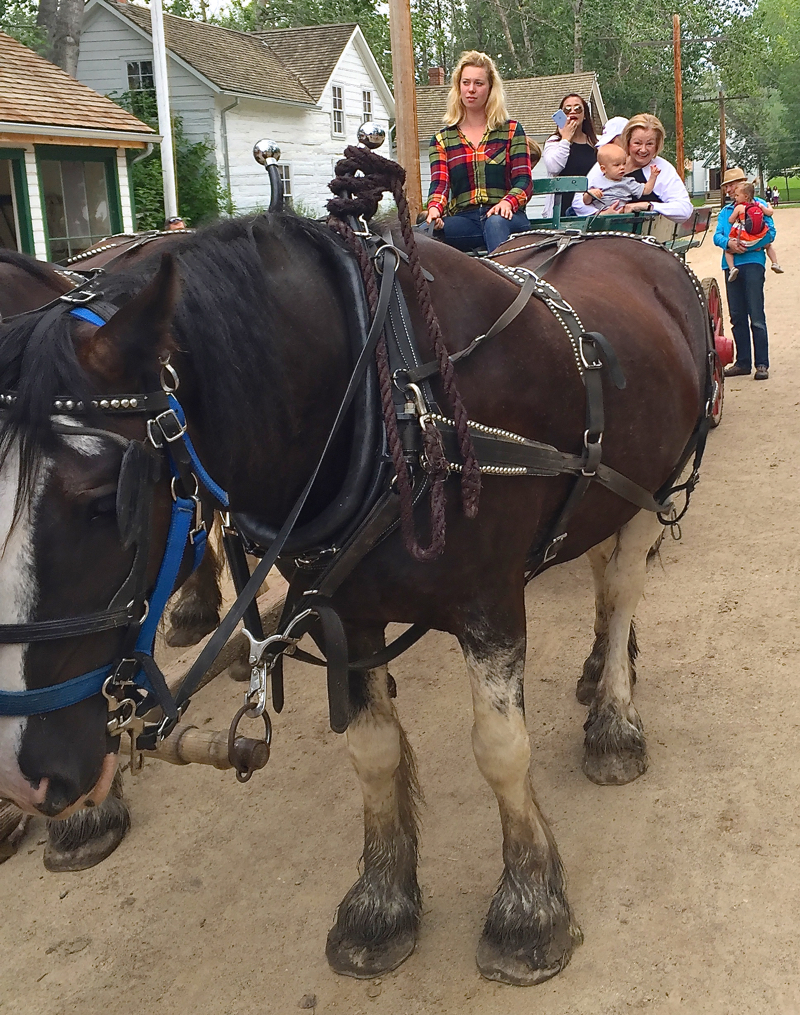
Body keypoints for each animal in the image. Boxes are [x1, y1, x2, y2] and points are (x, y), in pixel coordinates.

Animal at [0, 212, 706, 982]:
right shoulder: (347, 612)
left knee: (622, 584)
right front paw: (381, 901)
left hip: (658, 482)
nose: (24, 774)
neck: (393, 400)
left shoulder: (490, 603)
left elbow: (499, 748)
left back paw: (613, 718)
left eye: (105, 501)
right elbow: (373, 751)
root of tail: (618, 237)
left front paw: (528, 908)